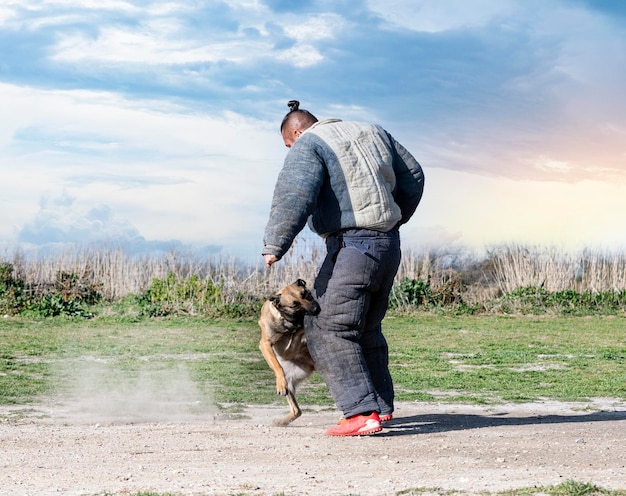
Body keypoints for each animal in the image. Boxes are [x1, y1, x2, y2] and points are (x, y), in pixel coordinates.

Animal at [256, 280, 320, 426]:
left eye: (306, 294)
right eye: (295, 305)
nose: (316, 309)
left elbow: (298, 332)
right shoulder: (266, 344)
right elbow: (277, 365)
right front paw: (280, 383)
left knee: (298, 411)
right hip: (290, 384)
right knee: (297, 410)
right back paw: (281, 421)